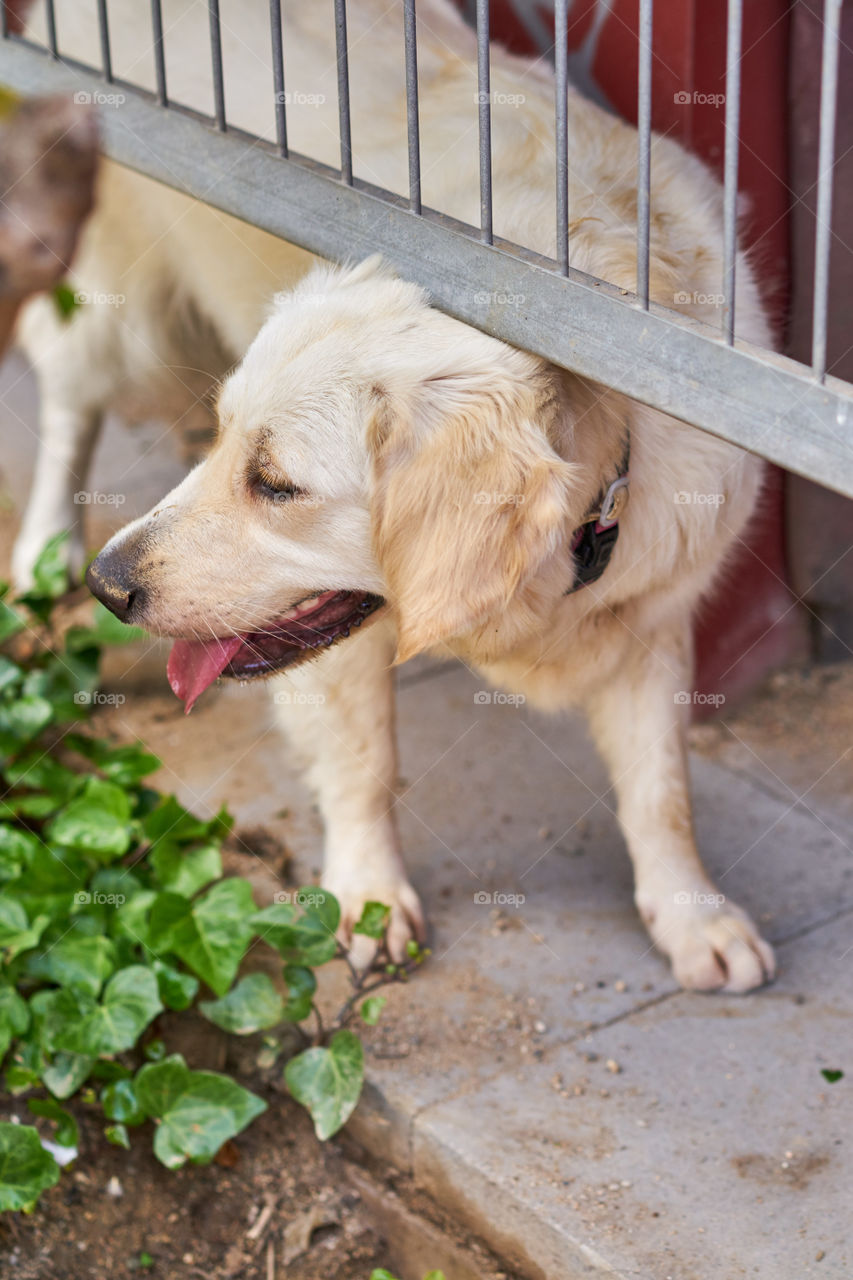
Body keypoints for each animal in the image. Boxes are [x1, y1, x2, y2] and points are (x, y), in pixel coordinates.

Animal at [16, 0, 768, 988]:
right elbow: (363, 762)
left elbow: (661, 790)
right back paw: (41, 554)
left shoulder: (648, 614)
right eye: (238, 443)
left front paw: (692, 916)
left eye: (274, 483)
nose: (108, 587)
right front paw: (367, 899)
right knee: (67, 402)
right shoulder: (330, 646)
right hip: (117, 312)